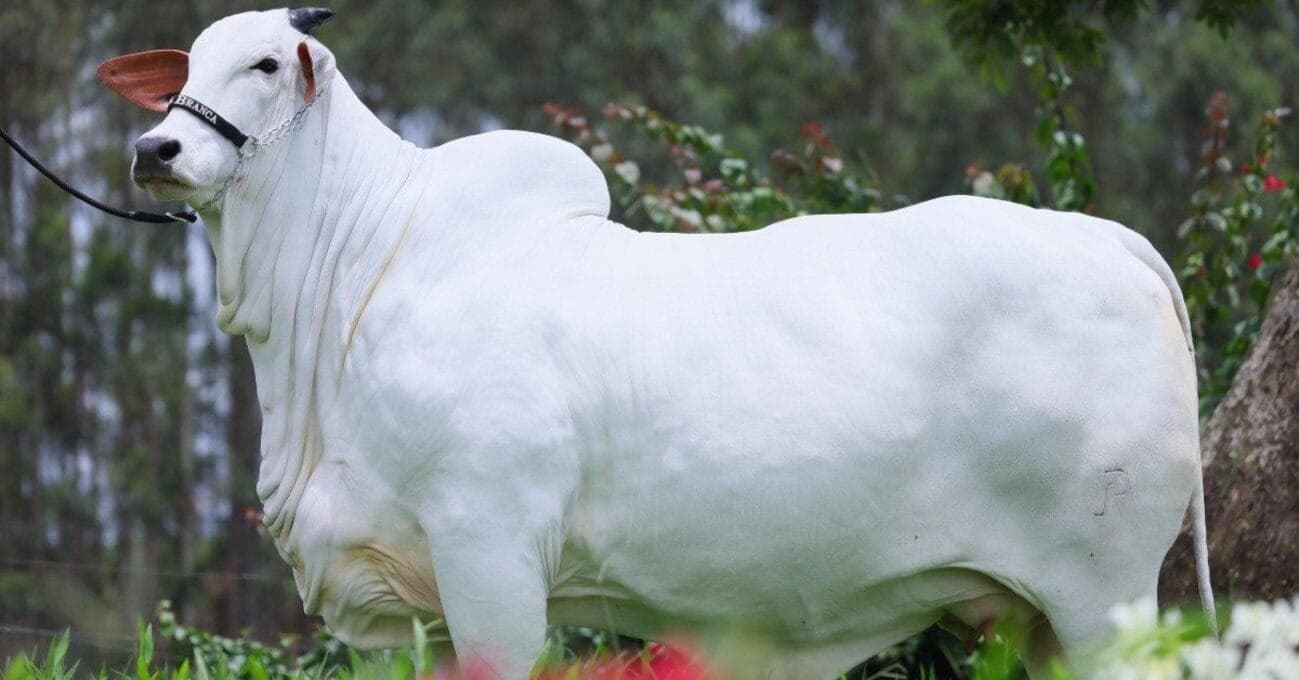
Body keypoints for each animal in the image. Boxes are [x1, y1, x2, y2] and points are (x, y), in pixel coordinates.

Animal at [99, 7, 1215, 678]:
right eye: (184, 66)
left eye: (261, 63)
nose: (157, 147)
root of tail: (1110, 240)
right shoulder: (400, 607)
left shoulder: (490, 556)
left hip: (1105, 590)